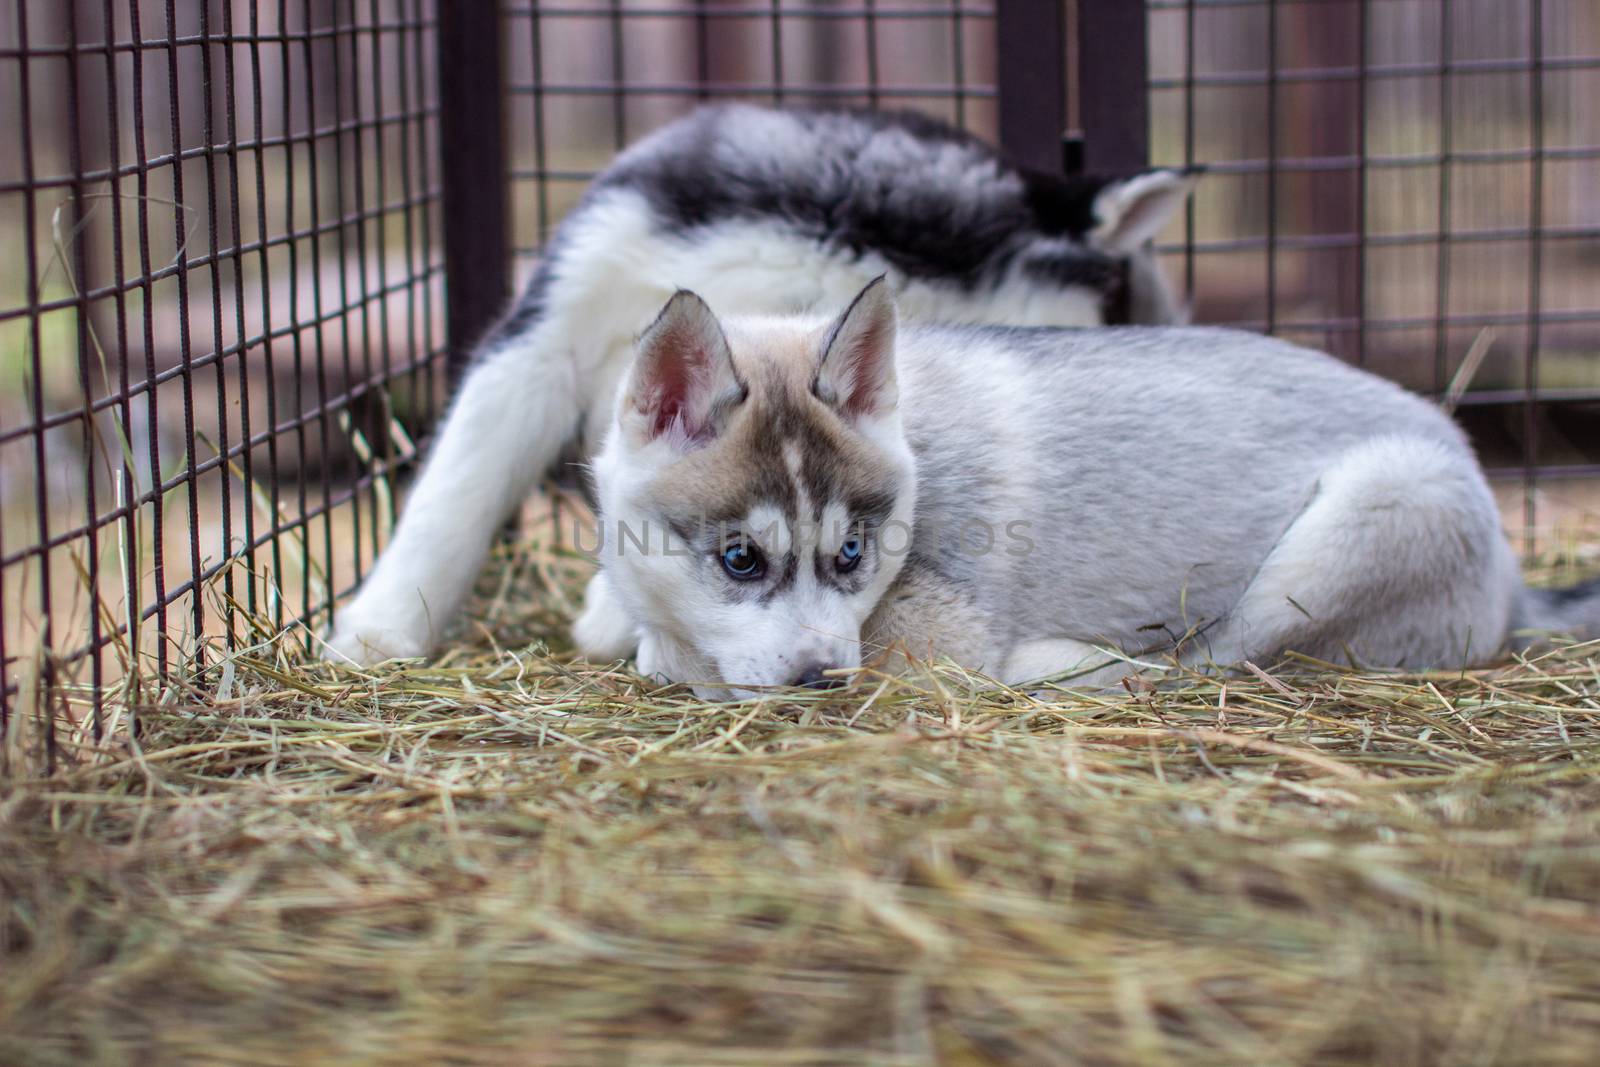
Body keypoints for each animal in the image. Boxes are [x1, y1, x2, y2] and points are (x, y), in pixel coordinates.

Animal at [579, 279, 1600, 700]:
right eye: (740, 559)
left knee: (1212, 660)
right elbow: (616, 627)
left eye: (852, 554)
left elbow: (685, 661)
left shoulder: (930, 640)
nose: (821, 680)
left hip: (1370, 513)